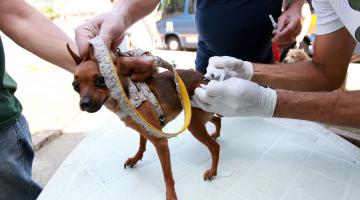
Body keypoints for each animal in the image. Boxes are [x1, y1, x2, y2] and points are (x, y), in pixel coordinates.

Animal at [66, 45, 221, 200]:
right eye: (75, 86)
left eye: (101, 80)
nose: (84, 104)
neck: (125, 98)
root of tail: (204, 79)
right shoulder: (144, 129)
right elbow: (141, 144)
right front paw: (135, 158)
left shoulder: (161, 142)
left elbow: (167, 175)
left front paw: (171, 194)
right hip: (198, 116)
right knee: (216, 118)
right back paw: (216, 133)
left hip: (194, 123)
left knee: (215, 147)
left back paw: (212, 171)